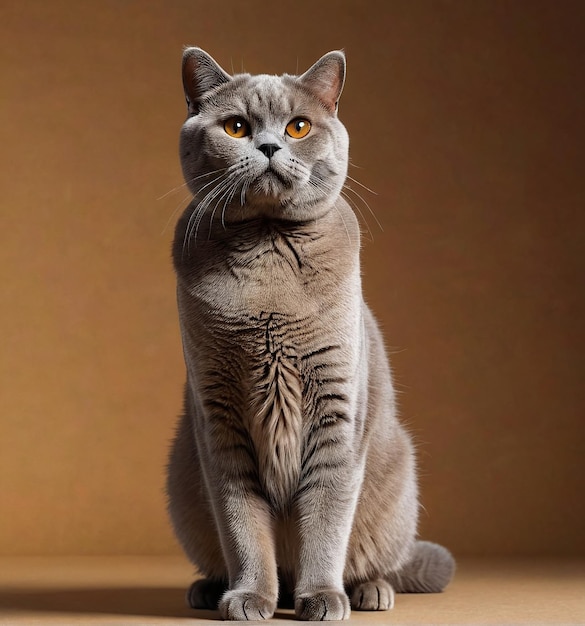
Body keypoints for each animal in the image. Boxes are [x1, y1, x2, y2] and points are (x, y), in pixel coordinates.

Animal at [167, 46, 454, 616]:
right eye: (236, 127)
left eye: (298, 126)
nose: (270, 145)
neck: (267, 246)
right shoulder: (219, 419)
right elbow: (241, 523)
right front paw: (250, 597)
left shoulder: (335, 410)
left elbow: (325, 517)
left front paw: (320, 597)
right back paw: (210, 589)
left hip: (396, 482)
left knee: (375, 558)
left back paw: (368, 591)